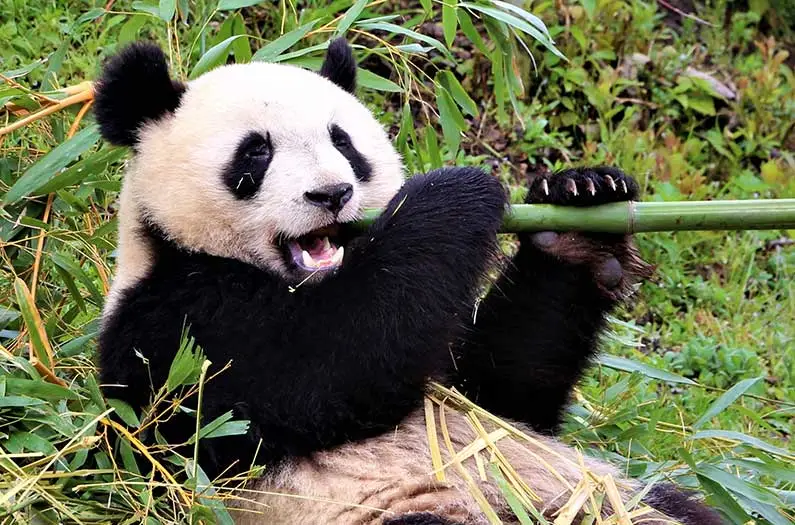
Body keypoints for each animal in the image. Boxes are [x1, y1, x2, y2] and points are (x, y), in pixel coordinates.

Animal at [94, 39, 724, 525]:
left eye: (343, 142)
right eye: (255, 153)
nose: (332, 194)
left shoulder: (460, 380)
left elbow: (500, 393)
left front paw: (579, 209)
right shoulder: (177, 320)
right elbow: (323, 369)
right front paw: (455, 192)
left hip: (597, 491)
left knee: (677, 505)